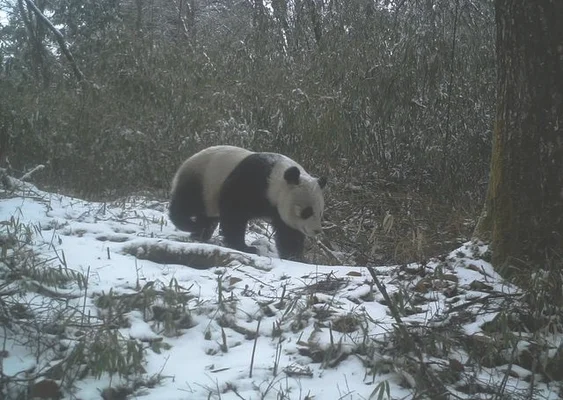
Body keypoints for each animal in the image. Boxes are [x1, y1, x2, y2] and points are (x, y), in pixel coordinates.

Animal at [169, 145, 326, 260]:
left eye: (320, 213)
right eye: (307, 211)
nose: (316, 230)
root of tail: (189, 160)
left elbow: (289, 232)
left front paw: (294, 257)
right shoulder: (251, 181)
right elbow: (234, 213)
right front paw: (245, 247)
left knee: (207, 216)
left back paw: (200, 233)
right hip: (203, 180)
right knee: (187, 203)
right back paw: (189, 224)